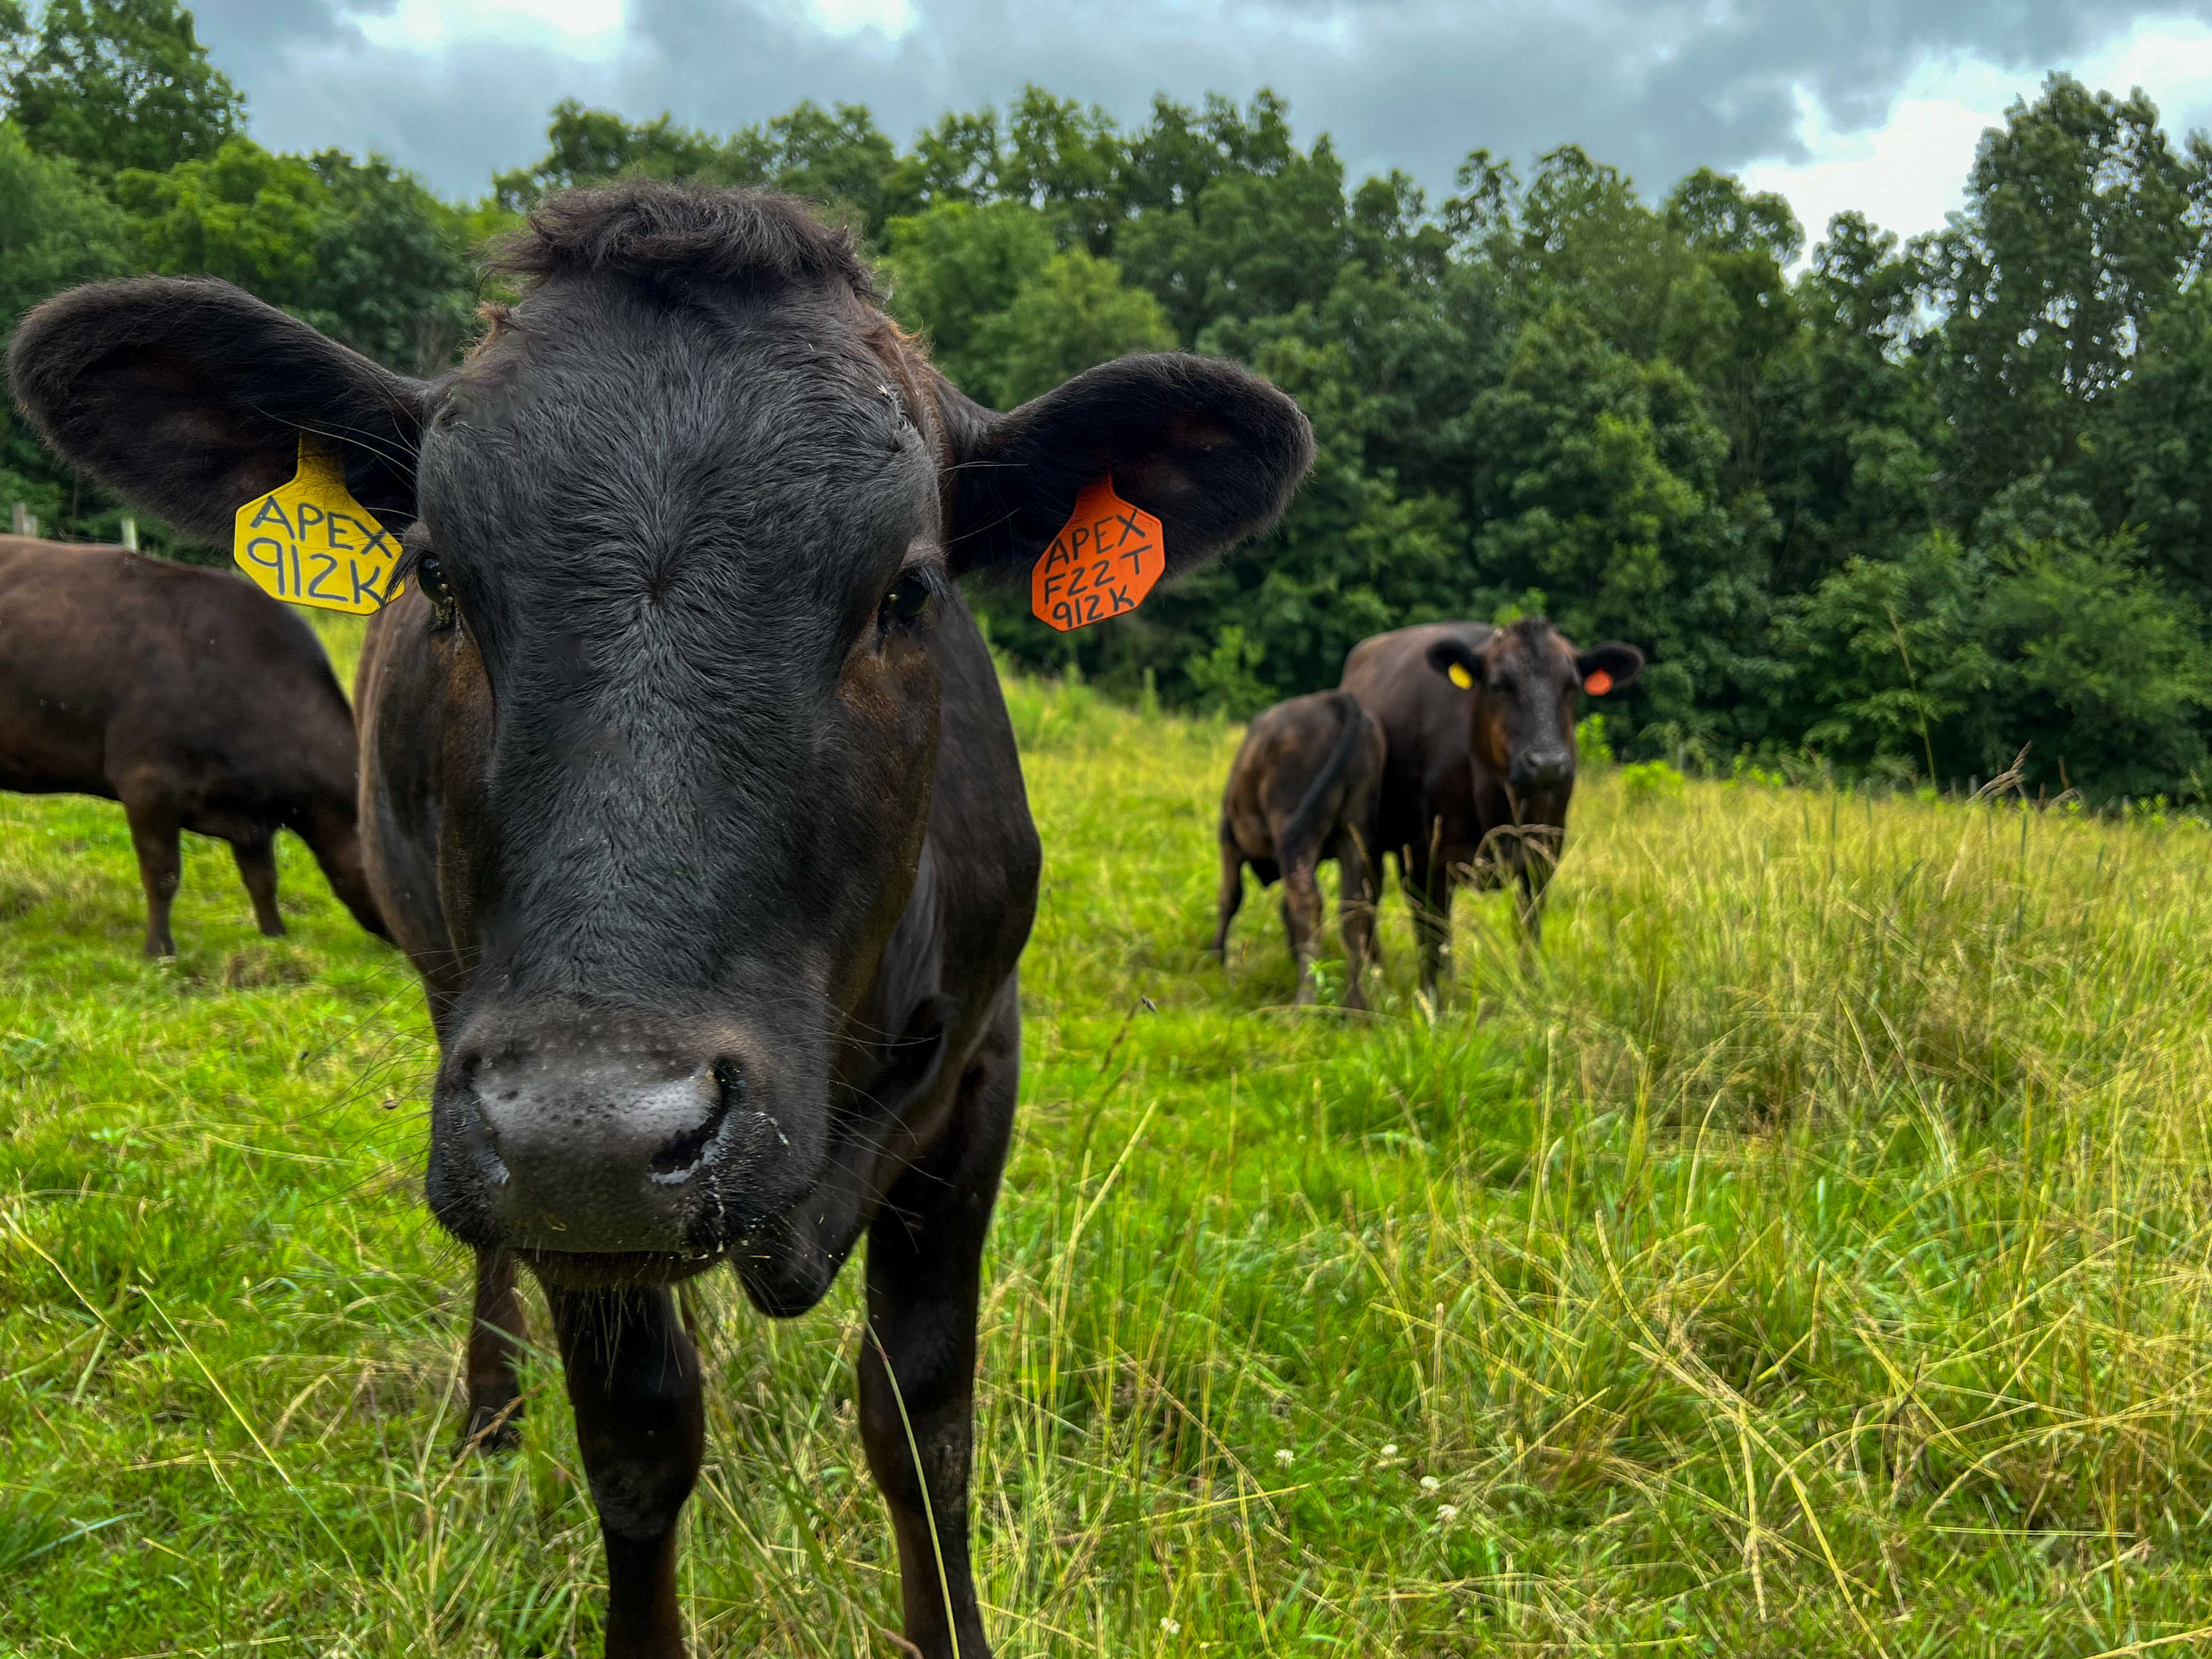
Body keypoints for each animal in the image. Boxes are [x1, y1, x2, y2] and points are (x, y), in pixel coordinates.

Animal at [0, 539, 389, 956]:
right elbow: (163, 874)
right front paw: (159, 950)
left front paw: (275, 936)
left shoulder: (252, 816)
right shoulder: (148, 784)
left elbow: (263, 878)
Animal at [1212, 690, 1380, 1013]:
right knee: (1353, 908)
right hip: (1355, 832)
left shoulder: (1229, 839)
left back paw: (1306, 1002)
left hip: (1292, 824)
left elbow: (1230, 896)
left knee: (1307, 902)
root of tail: (1333, 699)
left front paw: (1215, 957)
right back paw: (1356, 1006)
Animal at [1327, 619, 1645, 995]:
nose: (1548, 764)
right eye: (1498, 686)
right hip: (1371, 842)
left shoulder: (1544, 852)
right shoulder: (1429, 856)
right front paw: (1434, 1001)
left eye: (1571, 687)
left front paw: (1529, 990)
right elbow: (1431, 937)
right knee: (1369, 901)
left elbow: (1528, 930)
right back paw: (1376, 976)